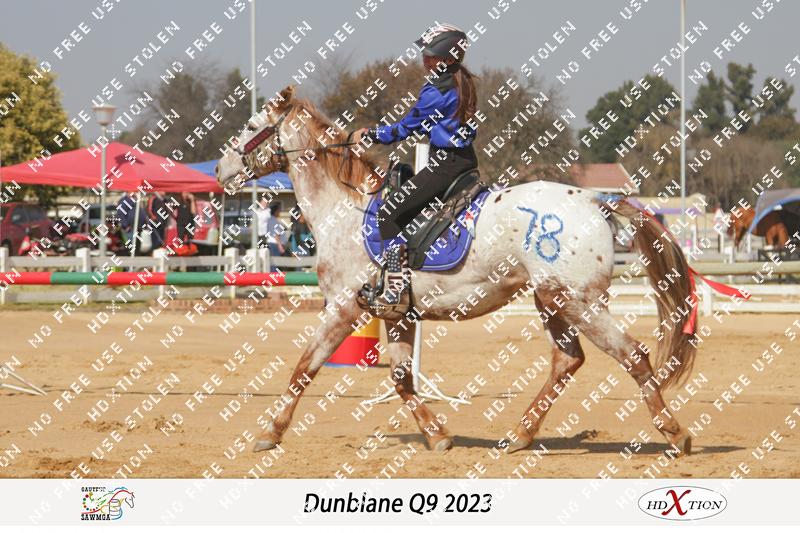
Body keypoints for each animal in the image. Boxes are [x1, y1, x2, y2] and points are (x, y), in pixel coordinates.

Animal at [216, 85, 696, 456]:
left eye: (252, 126)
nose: (220, 168)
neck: (345, 211)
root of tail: (595, 200)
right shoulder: (399, 313)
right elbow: (402, 379)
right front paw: (437, 436)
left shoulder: (343, 309)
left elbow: (304, 367)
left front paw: (270, 433)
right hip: (550, 299)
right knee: (567, 360)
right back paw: (519, 436)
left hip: (578, 301)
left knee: (632, 354)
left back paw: (675, 434)